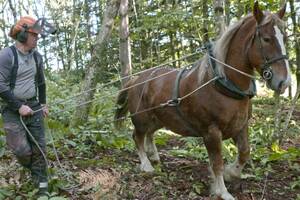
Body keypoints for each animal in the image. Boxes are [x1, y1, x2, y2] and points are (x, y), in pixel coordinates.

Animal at [113, 1, 290, 200]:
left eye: (285, 37)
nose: (284, 82)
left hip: (159, 118)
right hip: (141, 118)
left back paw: (154, 156)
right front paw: (222, 191)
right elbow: (217, 162)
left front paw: (231, 173)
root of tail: (136, 79)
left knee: (150, 134)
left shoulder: (241, 125)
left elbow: (244, 152)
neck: (222, 83)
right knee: (137, 137)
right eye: (266, 39)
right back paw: (146, 164)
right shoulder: (211, 132)